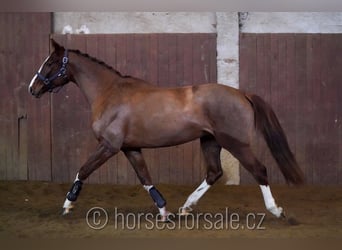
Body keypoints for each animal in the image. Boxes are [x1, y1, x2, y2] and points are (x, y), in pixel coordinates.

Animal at [28, 39, 304, 221]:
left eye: (51, 62)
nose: (33, 88)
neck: (109, 93)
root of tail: (242, 93)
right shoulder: (131, 148)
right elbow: (145, 179)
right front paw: (164, 210)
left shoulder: (109, 146)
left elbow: (83, 170)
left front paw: (67, 205)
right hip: (210, 141)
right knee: (214, 173)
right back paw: (186, 207)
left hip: (236, 143)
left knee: (259, 170)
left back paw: (275, 210)